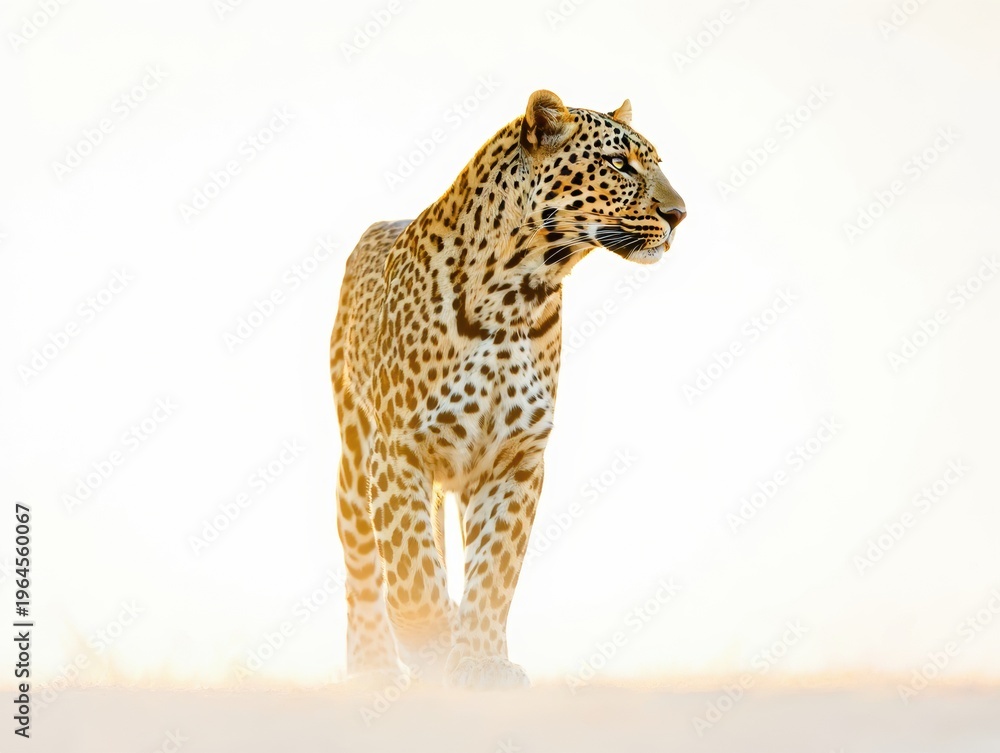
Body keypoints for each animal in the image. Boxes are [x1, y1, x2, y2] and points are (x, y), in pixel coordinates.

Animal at [329, 90, 685, 689]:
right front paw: (432, 644)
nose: (679, 213)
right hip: (355, 456)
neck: (519, 292)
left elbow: (495, 571)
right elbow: (410, 567)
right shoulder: (399, 449)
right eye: (619, 164)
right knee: (363, 565)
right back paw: (373, 667)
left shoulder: (516, 459)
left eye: (657, 162)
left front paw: (479, 659)